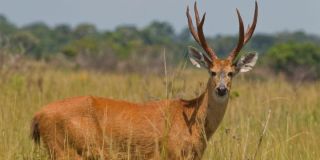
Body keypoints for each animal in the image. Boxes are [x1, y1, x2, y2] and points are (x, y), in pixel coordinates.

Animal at [31, 1, 258, 160]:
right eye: (211, 71)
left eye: (231, 72)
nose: (221, 89)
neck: (194, 121)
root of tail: (37, 115)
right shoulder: (171, 153)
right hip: (63, 149)